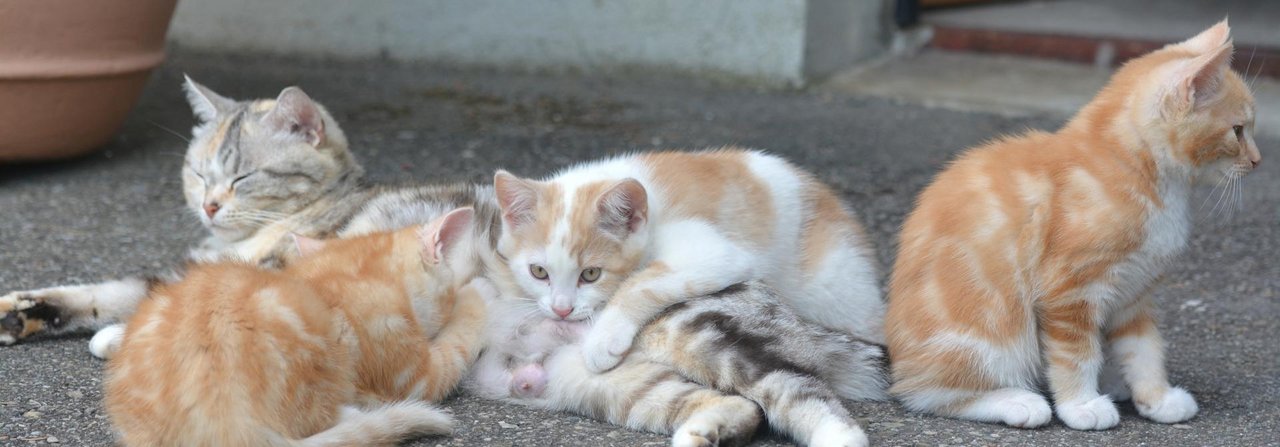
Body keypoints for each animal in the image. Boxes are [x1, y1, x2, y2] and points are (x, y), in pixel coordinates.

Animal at [473, 280, 890, 443]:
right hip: (600, 383)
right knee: (743, 405)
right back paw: (702, 434)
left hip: (699, 334)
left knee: (796, 389)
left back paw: (838, 437)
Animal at [885, 19, 1264, 430]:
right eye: (1238, 131)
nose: (1258, 160)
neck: (1143, 173)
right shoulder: (1068, 291)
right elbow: (1075, 354)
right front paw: (1081, 405)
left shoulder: (1135, 291)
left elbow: (1144, 349)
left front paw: (1157, 397)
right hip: (987, 335)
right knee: (928, 392)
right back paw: (1017, 401)